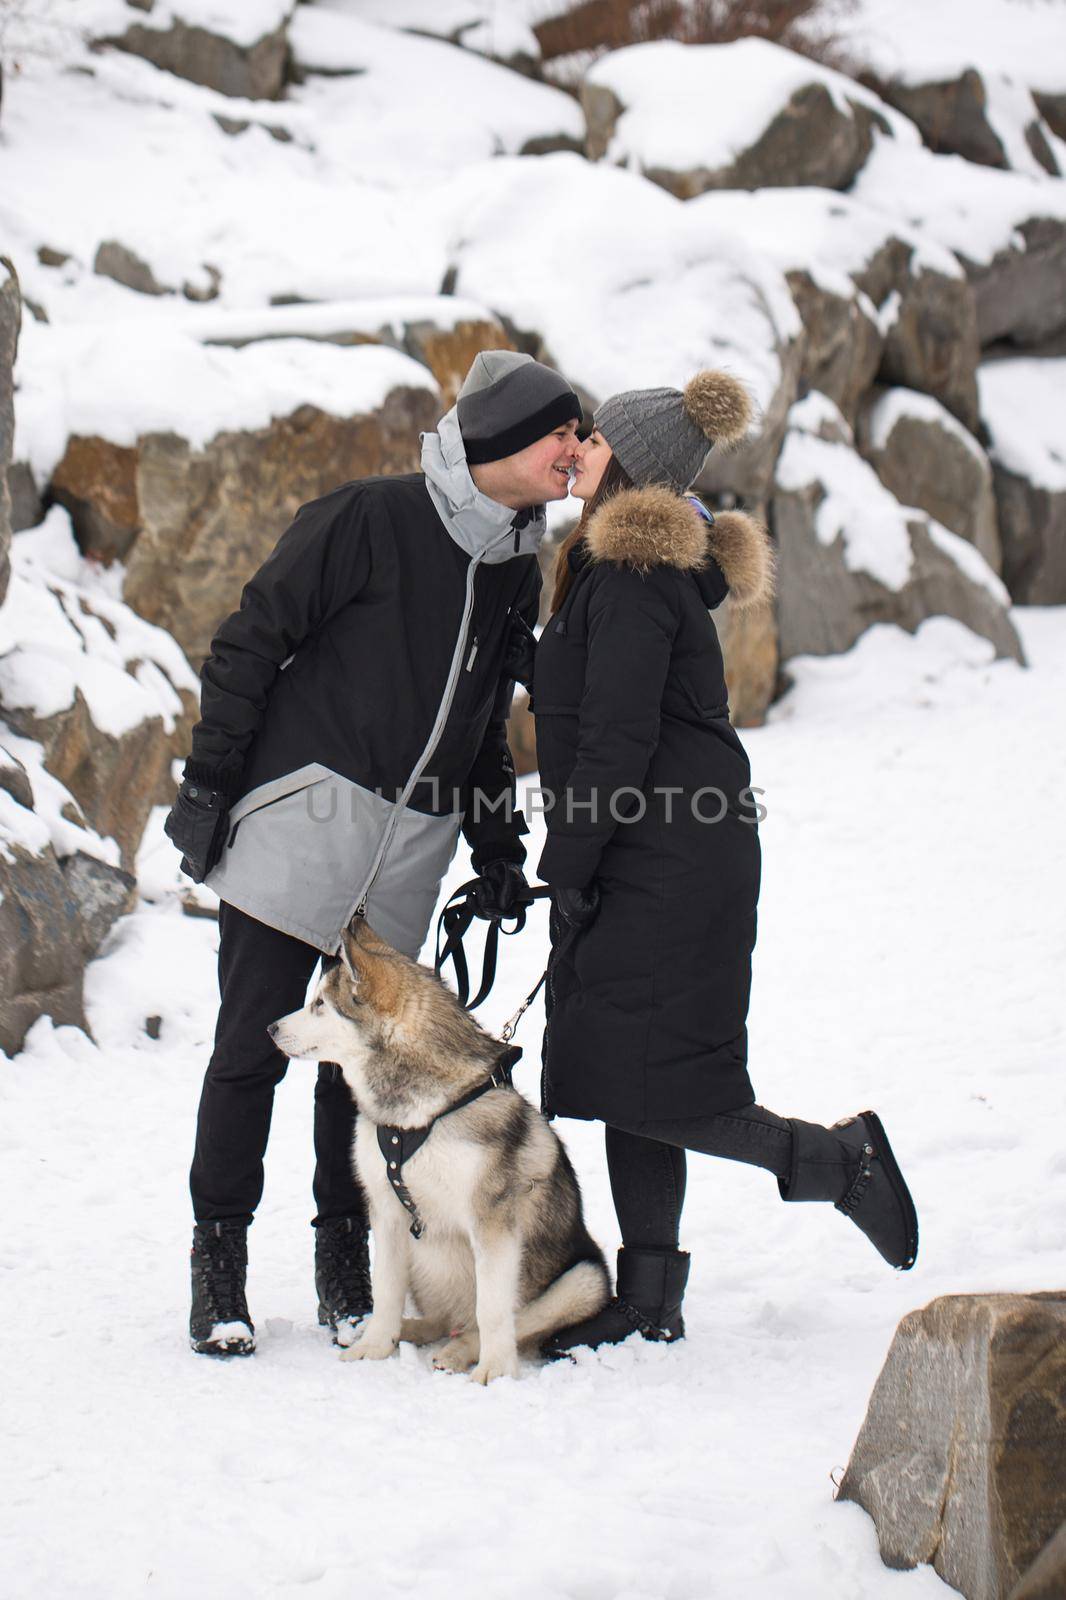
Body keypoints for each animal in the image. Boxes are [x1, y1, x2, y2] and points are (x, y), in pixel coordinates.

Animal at [270, 921, 605, 1382]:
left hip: (584, 1280)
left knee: (492, 1322)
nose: (271, 1028)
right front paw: (375, 1346)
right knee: (440, 1320)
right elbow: (386, 1288)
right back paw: (404, 1331)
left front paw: (496, 1373)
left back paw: (459, 1351)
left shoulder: (492, 1223)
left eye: (320, 1004)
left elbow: (493, 1311)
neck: (416, 1117)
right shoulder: (387, 1212)